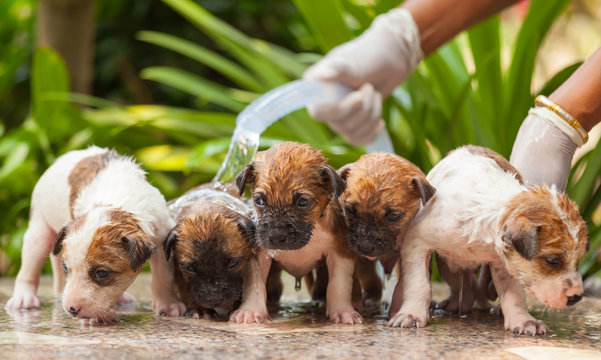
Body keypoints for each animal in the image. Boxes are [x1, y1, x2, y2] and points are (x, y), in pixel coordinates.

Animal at [4, 146, 184, 324]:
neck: (116, 202)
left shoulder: (161, 238)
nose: (71, 309)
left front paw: (168, 304)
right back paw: (23, 298)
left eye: (102, 273)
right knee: (29, 269)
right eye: (65, 268)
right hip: (38, 231)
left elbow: (162, 275)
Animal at [231, 142, 360, 324]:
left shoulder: (340, 253)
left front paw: (342, 311)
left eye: (303, 202)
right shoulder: (259, 253)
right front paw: (250, 310)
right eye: (259, 201)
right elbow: (255, 284)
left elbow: (338, 284)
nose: (276, 236)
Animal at [338, 153, 436, 314]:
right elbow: (354, 282)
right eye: (349, 210)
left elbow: (402, 288)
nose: (364, 246)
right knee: (371, 280)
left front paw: (398, 311)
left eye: (393, 217)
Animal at [390, 146, 584, 334]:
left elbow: (514, 292)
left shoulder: (507, 263)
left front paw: (524, 320)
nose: (577, 297)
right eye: (552, 261)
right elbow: (419, 283)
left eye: (578, 261)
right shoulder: (416, 242)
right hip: (446, 264)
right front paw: (412, 314)